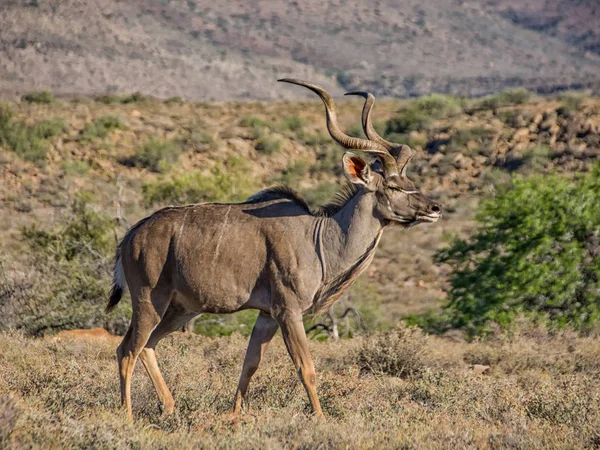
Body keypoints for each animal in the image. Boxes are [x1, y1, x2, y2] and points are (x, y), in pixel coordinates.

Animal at [105, 79, 440, 420]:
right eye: (394, 186)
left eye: (409, 182)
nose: (435, 208)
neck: (318, 239)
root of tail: (132, 235)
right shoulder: (287, 311)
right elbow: (306, 368)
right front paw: (320, 418)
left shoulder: (266, 315)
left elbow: (250, 365)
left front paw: (235, 416)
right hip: (150, 301)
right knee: (127, 349)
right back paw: (126, 414)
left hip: (181, 309)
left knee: (147, 346)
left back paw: (169, 407)